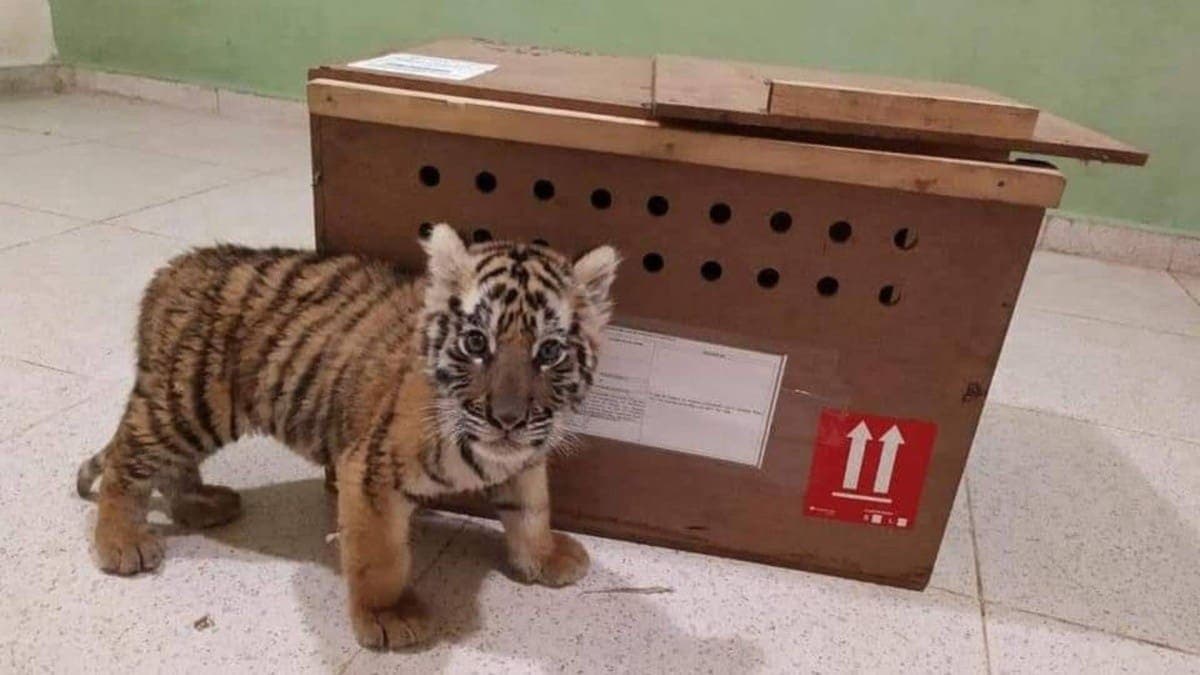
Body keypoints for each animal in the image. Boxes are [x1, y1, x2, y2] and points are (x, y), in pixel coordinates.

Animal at [74, 223, 619, 649]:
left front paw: (545, 557)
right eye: (475, 342)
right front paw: (387, 616)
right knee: (128, 458)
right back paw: (122, 543)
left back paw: (200, 506)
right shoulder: (369, 470)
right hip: (190, 404)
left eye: (549, 352)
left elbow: (531, 510)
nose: (508, 418)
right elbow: (380, 556)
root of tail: (172, 270)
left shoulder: (524, 460)